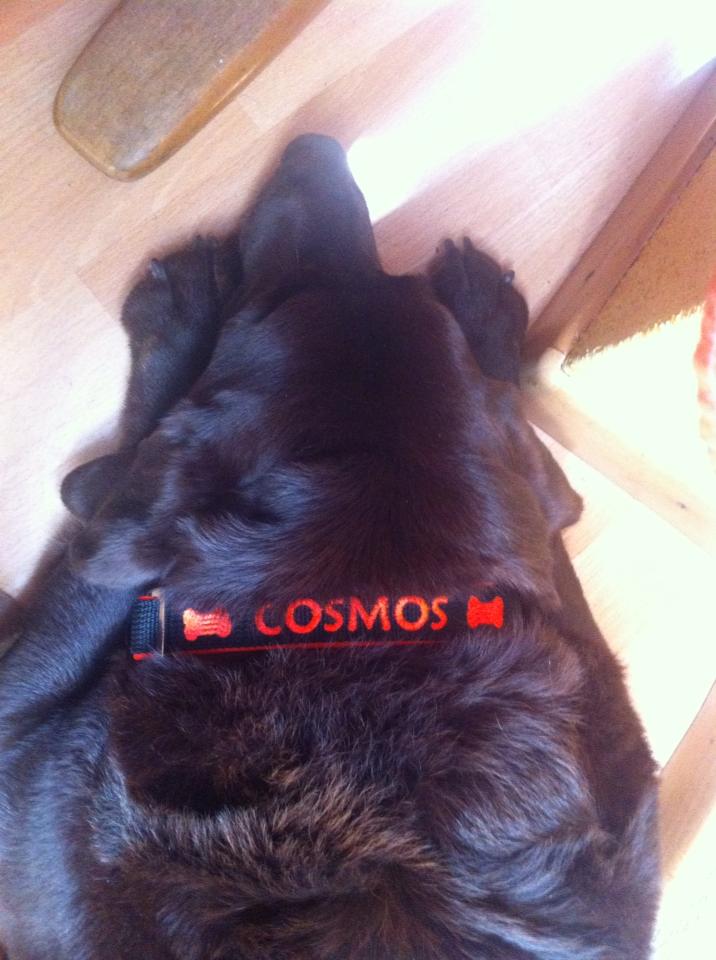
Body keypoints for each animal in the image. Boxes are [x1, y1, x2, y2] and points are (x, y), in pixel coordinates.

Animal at [0, 134, 658, 959]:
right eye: (394, 283)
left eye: (277, 301)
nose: (316, 148)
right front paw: (487, 320)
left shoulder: (20, 720)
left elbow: (116, 516)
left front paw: (181, 316)